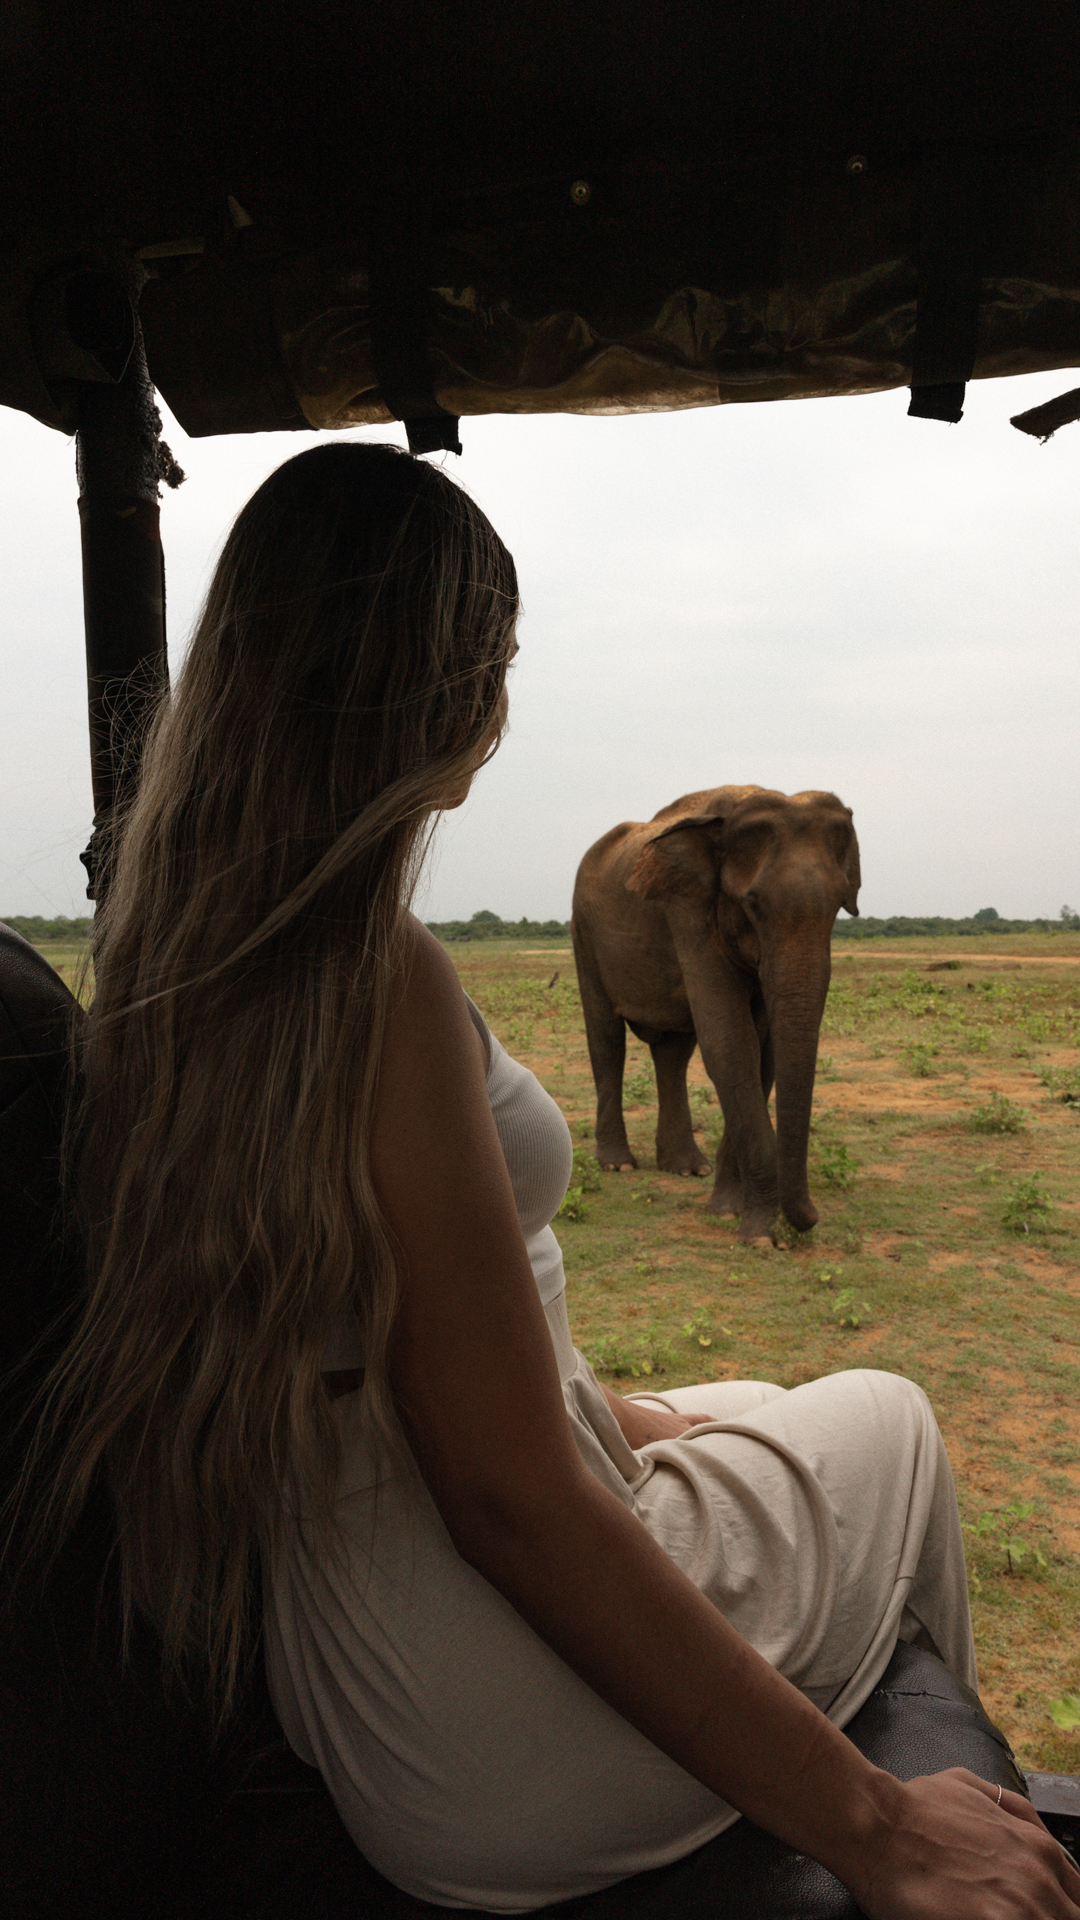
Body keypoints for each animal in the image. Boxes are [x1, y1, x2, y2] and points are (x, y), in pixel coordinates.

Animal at [571, 786, 861, 1244]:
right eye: (753, 905)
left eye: (838, 905)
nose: (810, 1219)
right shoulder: (689, 910)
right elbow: (730, 1041)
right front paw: (759, 1234)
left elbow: (761, 1051)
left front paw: (726, 1210)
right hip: (583, 929)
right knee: (606, 1040)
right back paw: (619, 1164)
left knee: (673, 1053)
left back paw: (688, 1168)